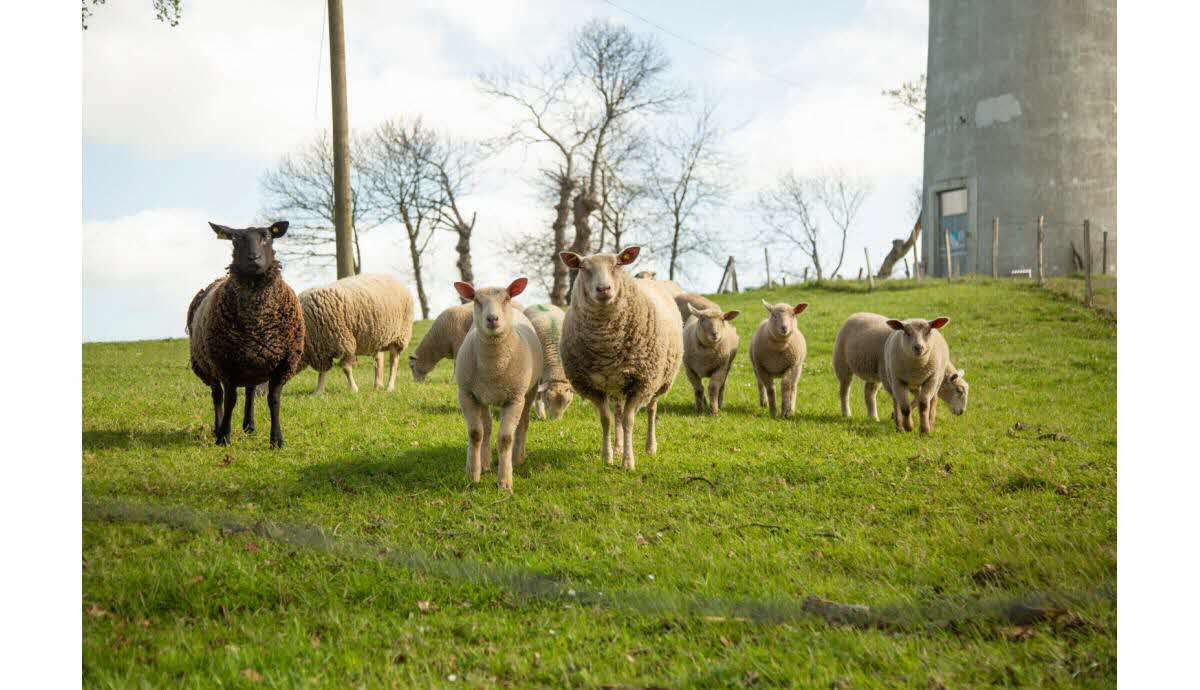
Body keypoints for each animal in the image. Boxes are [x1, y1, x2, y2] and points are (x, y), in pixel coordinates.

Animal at [451, 276, 542, 492]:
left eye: (506, 298)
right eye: (476, 300)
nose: (492, 319)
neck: (494, 368)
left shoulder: (514, 398)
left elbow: (505, 438)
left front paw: (505, 481)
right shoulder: (466, 394)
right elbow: (475, 433)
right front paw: (472, 474)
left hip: (529, 391)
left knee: (523, 423)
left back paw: (518, 457)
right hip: (484, 396)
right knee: (487, 427)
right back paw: (484, 463)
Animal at [556, 247, 681, 470]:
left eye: (616, 265)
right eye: (583, 268)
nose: (603, 288)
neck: (607, 344)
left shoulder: (641, 382)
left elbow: (629, 421)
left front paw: (628, 462)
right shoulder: (592, 386)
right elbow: (606, 419)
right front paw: (608, 456)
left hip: (659, 379)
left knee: (651, 409)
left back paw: (650, 447)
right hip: (617, 385)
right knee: (617, 413)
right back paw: (617, 446)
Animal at [835, 312, 974, 422]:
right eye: (959, 391)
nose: (961, 412)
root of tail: (856, 314)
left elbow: (918, 398)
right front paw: (897, 416)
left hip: (874, 370)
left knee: (869, 392)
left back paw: (873, 417)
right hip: (843, 364)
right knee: (844, 391)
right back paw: (846, 414)